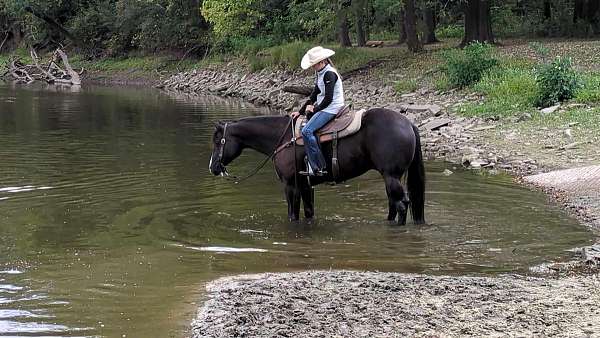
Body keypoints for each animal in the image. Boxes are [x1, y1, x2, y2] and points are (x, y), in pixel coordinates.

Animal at [209, 108, 424, 224]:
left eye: (218, 140)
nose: (213, 167)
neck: (283, 138)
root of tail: (408, 124)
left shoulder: (291, 185)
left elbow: (292, 214)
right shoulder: (306, 186)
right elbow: (309, 212)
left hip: (391, 176)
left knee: (402, 205)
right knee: (394, 205)